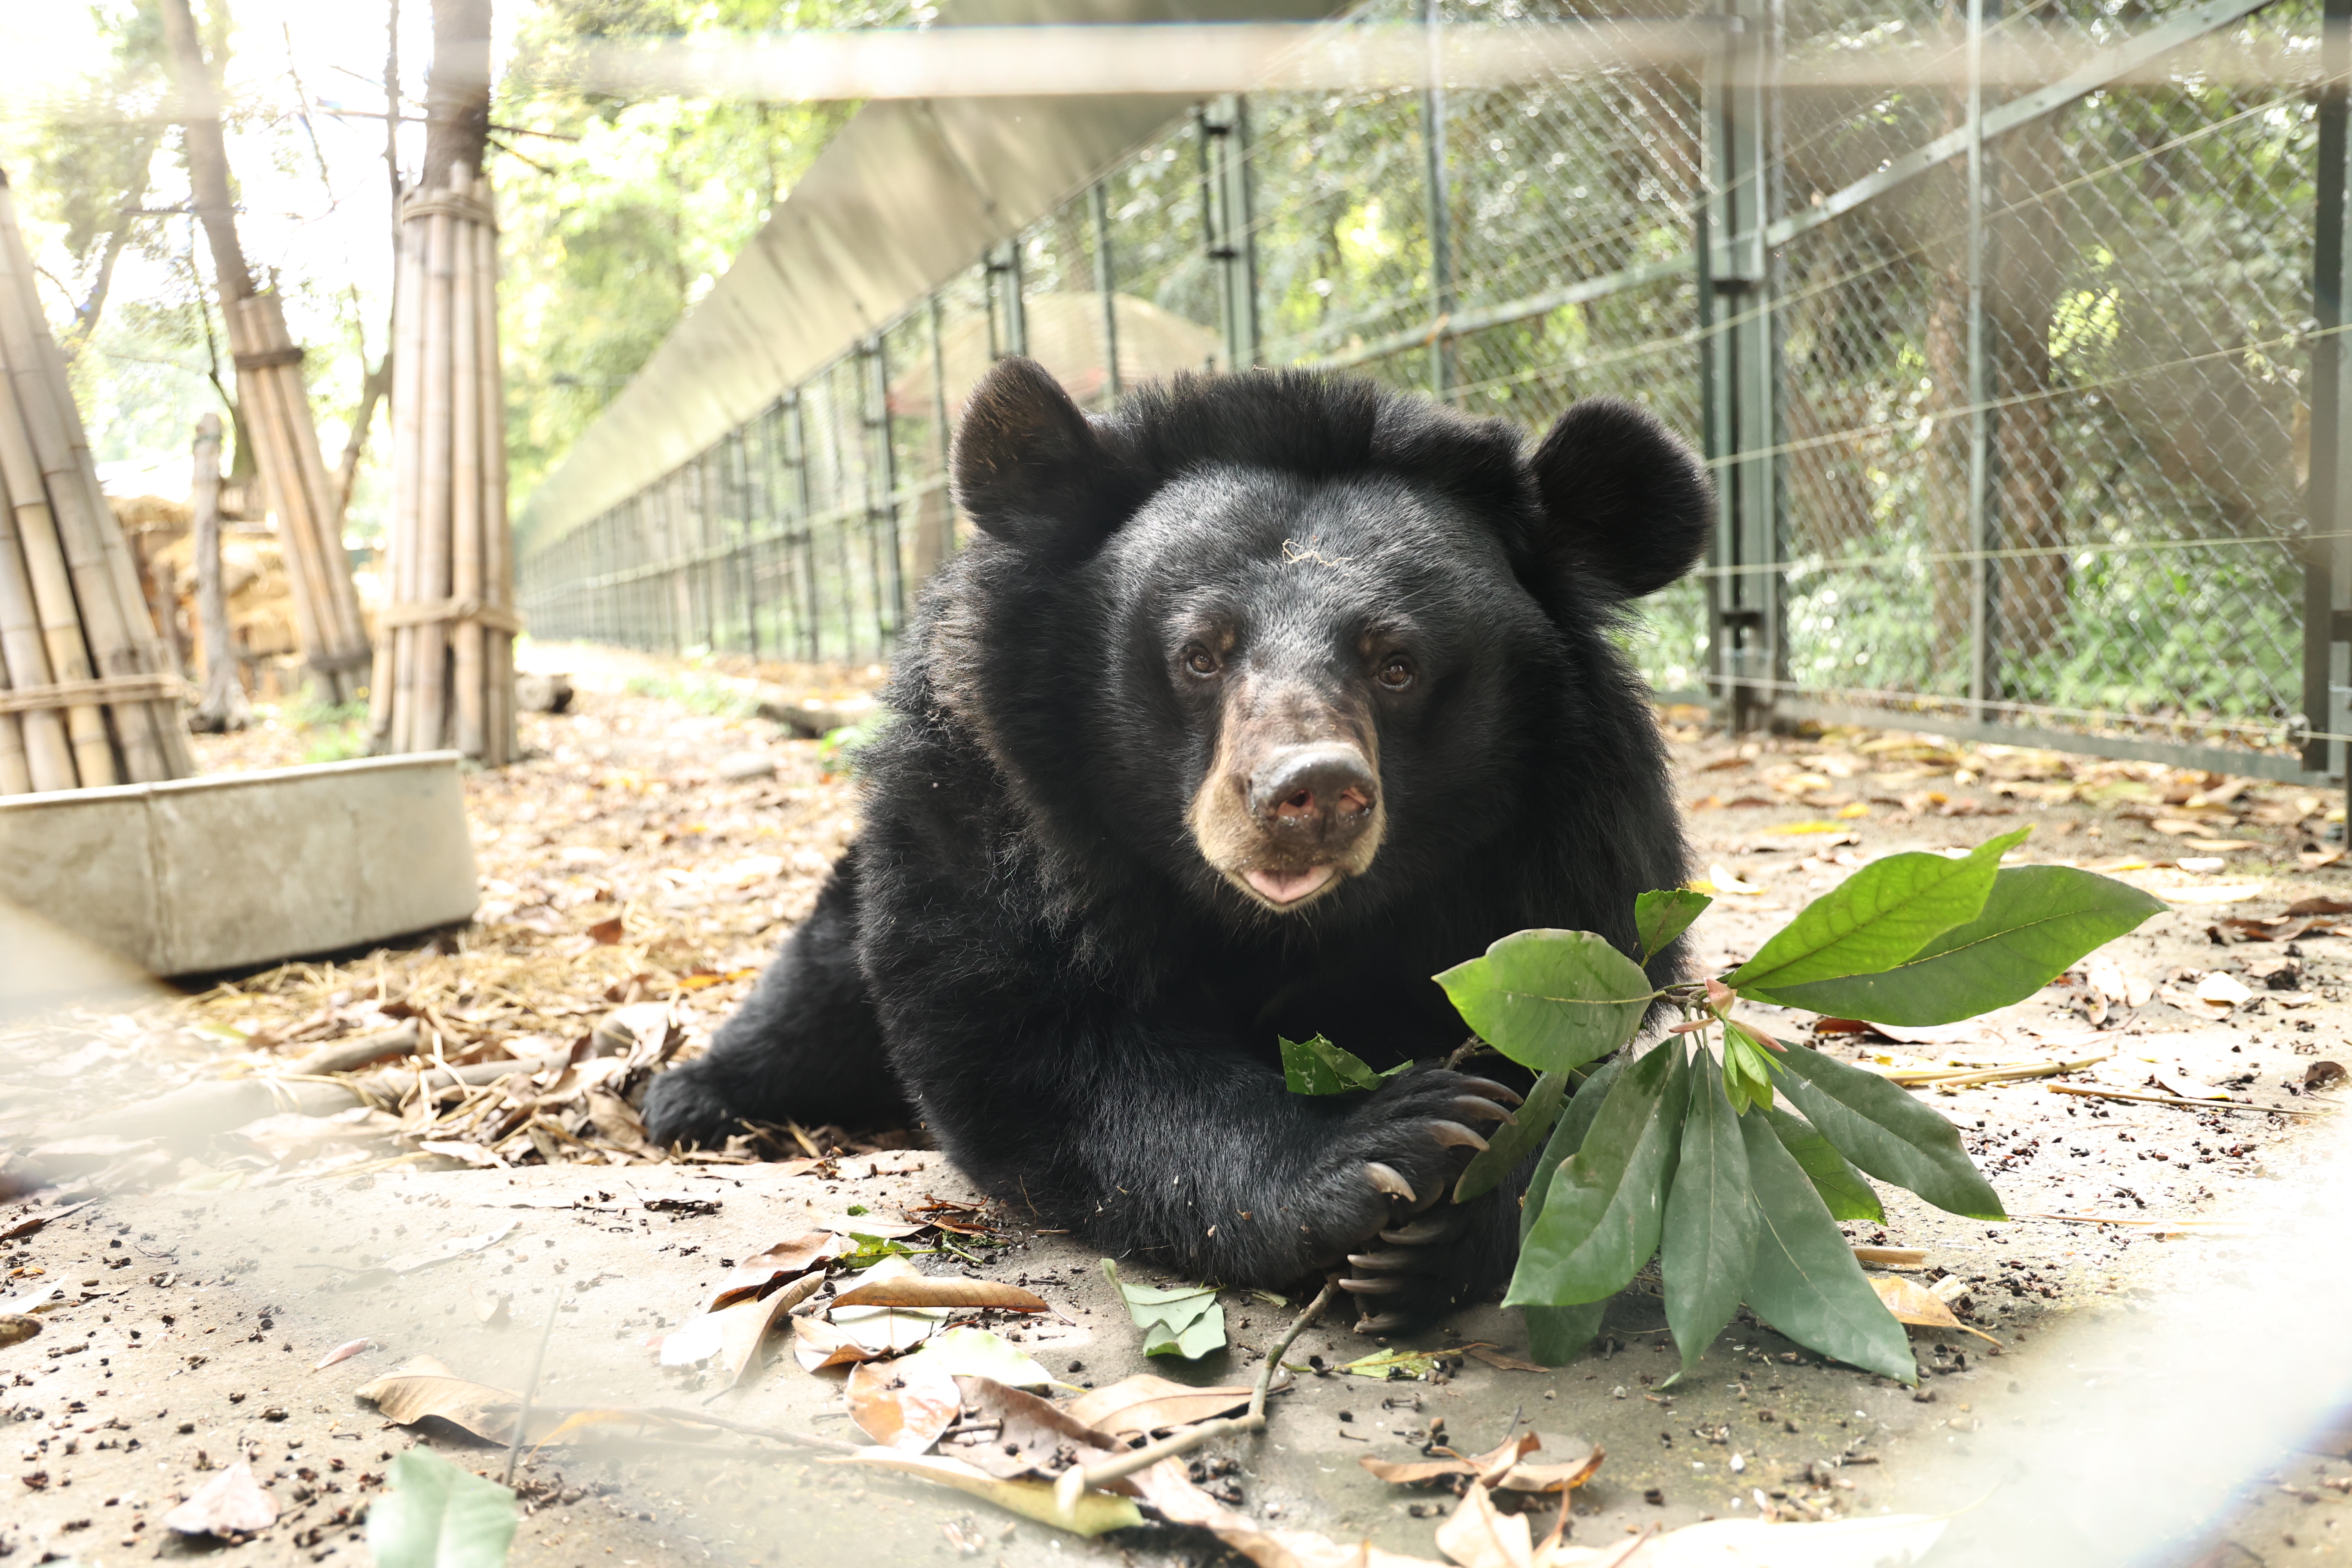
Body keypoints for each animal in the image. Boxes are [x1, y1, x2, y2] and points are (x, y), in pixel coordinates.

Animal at [641, 357, 1711, 1331]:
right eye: (1201, 654)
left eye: (1398, 665)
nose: (1310, 793)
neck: (1280, 925)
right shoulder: (987, 821)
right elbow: (1037, 1043)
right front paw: (1382, 1153)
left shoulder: (1563, 857)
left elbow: (1558, 1057)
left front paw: (1448, 1211)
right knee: (816, 996)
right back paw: (685, 1099)